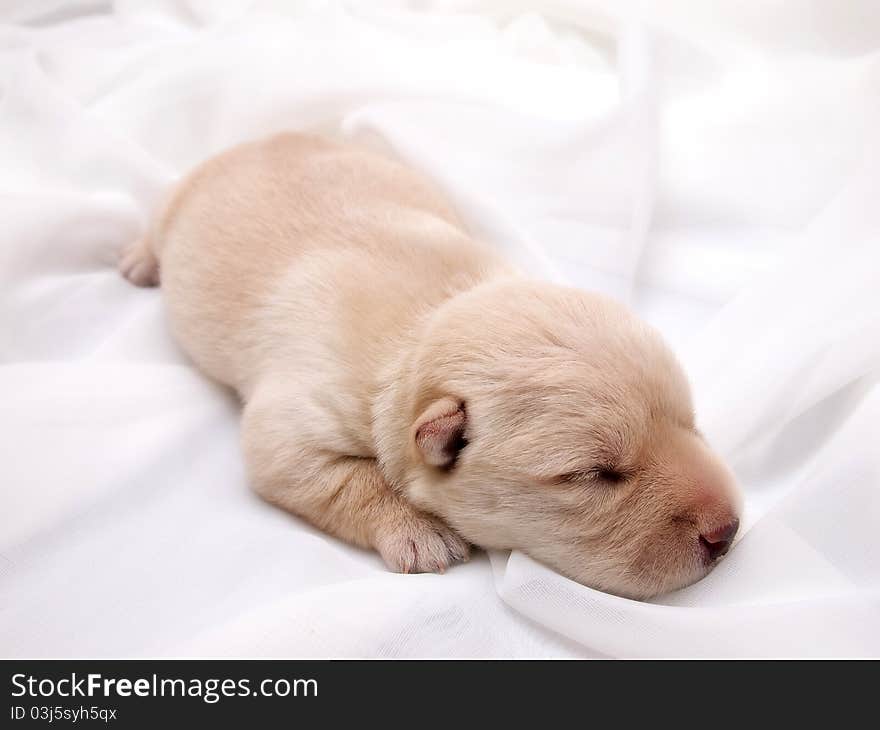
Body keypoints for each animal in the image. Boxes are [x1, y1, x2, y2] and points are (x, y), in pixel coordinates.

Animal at [120, 131, 744, 596]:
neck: (433, 316)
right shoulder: (294, 423)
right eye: (596, 475)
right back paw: (139, 261)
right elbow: (335, 475)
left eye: (692, 424)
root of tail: (261, 135)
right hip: (178, 201)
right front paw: (419, 531)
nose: (728, 530)